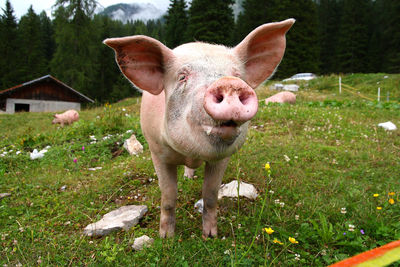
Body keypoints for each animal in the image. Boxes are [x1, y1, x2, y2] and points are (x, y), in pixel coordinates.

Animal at [104, 18, 296, 239]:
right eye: (182, 77)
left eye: (237, 75)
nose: (229, 83)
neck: (191, 153)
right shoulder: (157, 151)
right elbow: (168, 196)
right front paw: (166, 237)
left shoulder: (222, 158)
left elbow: (211, 195)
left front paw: (210, 236)